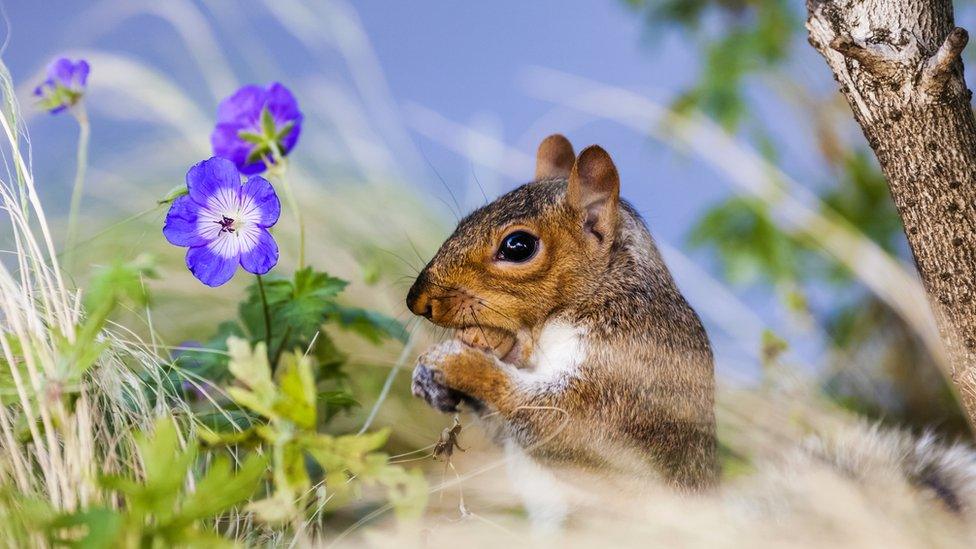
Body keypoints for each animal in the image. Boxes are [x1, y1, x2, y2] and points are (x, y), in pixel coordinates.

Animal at [404, 134, 716, 510]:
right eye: (466, 220)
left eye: (518, 246)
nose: (417, 300)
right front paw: (428, 379)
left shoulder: (632, 368)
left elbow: (564, 423)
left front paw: (459, 362)